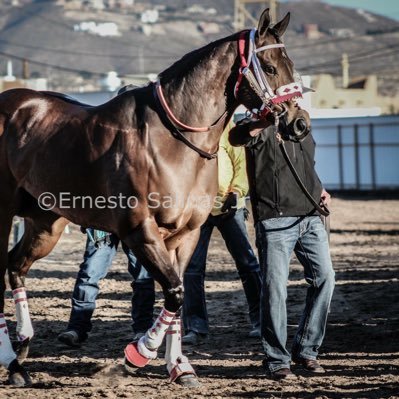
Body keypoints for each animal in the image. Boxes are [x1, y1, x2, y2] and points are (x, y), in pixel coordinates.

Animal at [0, 8, 310, 388]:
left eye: (290, 63)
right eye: (268, 67)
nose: (299, 123)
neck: (171, 140)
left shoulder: (186, 234)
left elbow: (177, 297)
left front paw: (179, 366)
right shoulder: (141, 232)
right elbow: (175, 292)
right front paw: (137, 354)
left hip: (46, 223)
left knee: (15, 266)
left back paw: (22, 348)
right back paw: (11, 359)